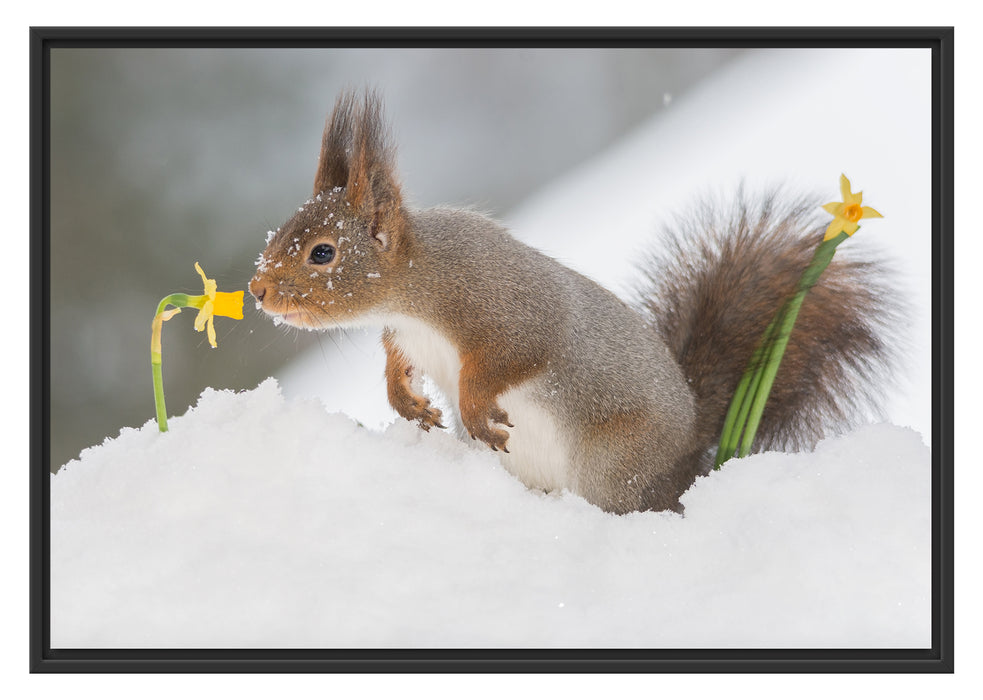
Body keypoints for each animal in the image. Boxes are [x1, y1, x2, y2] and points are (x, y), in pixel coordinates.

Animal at [249, 90, 899, 515]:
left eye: (324, 254)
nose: (257, 291)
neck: (416, 288)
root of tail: (690, 453)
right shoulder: (406, 336)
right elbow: (396, 364)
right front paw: (408, 403)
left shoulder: (508, 309)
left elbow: (513, 357)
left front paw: (475, 408)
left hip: (614, 466)